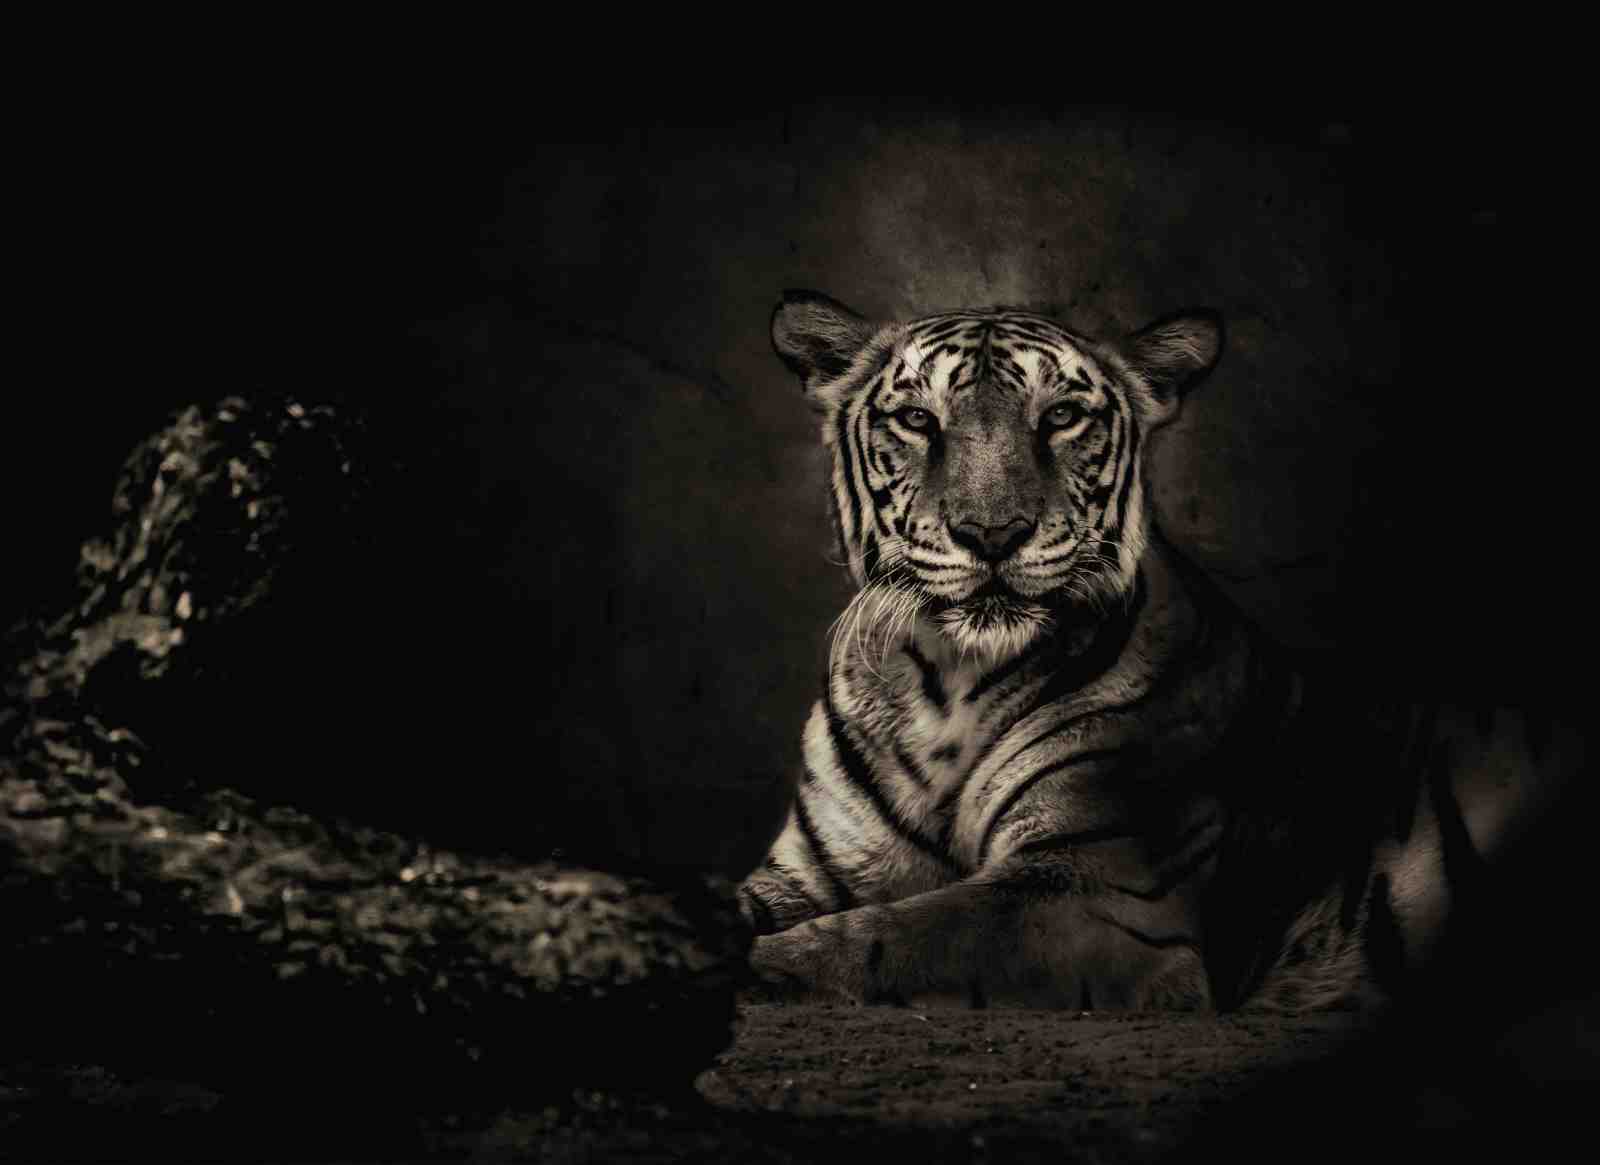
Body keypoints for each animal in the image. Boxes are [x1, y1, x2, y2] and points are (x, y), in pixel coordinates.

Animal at [738, 290, 1587, 1013]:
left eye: (1062, 416)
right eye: (917, 419)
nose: (992, 532)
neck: (947, 684)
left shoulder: (1099, 890)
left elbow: (895, 934)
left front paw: (760, 966)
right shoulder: (811, 867)